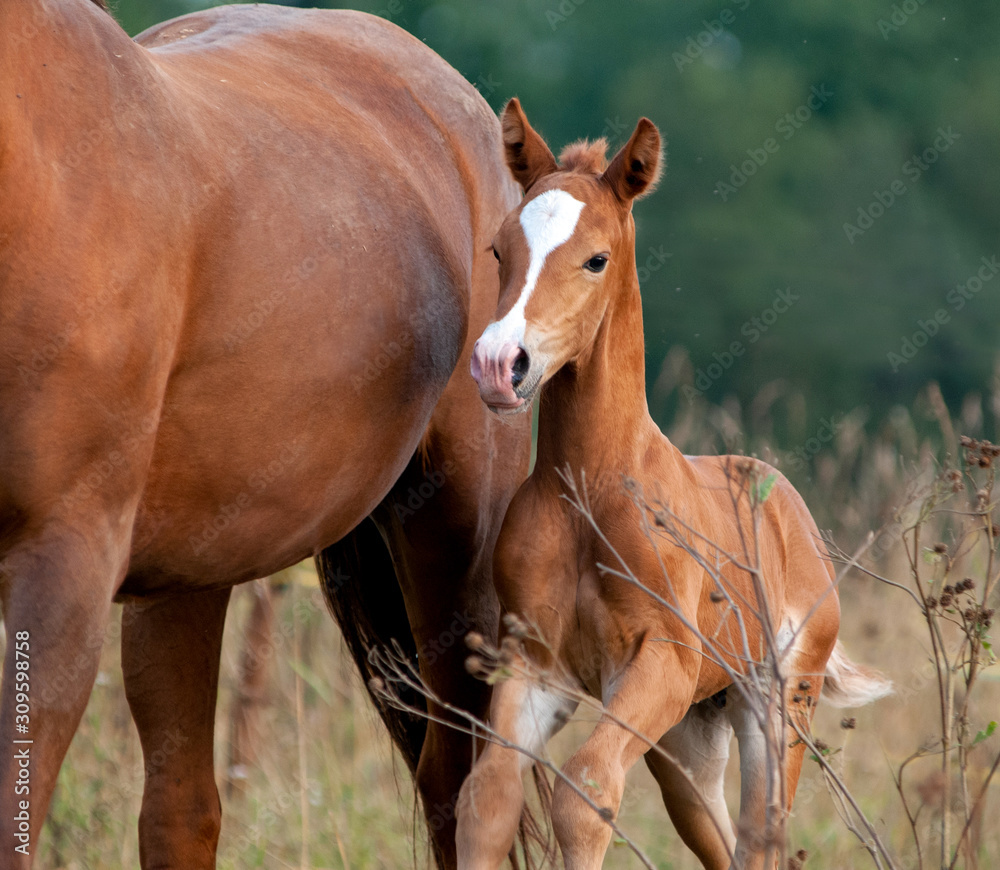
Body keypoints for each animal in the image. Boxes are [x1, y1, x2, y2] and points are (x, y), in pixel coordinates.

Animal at [456, 99, 891, 870]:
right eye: (500, 251)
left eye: (596, 258)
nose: (500, 364)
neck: (592, 488)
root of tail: (792, 511)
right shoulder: (534, 667)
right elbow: (487, 801)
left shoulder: (660, 659)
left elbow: (585, 793)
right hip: (688, 735)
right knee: (718, 835)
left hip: (776, 705)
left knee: (763, 837)